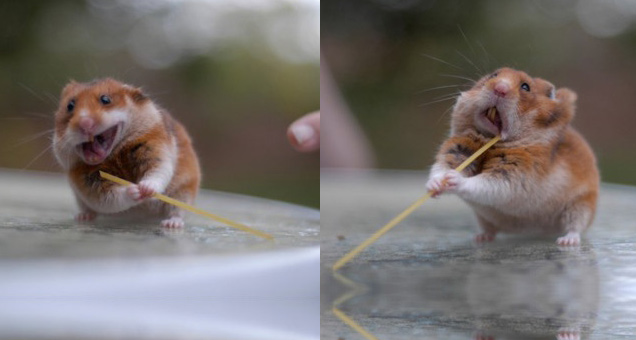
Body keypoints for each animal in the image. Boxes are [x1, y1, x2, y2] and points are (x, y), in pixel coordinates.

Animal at [53, 77, 200, 228]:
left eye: (105, 99)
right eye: (70, 105)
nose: (85, 123)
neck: (114, 153)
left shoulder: (156, 150)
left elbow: (157, 172)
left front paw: (145, 189)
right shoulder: (89, 185)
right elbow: (112, 196)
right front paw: (135, 190)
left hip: (184, 191)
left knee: (177, 211)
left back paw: (171, 224)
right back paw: (82, 217)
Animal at [424, 67, 600, 246]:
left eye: (525, 87)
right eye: (493, 75)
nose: (500, 88)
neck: (488, 140)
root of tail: (540, 231)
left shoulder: (514, 175)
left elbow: (482, 183)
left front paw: (453, 179)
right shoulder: (456, 151)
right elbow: (441, 168)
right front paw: (435, 185)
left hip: (581, 205)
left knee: (575, 226)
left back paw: (566, 241)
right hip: (483, 218)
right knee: (490, 229)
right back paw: (481, 238)